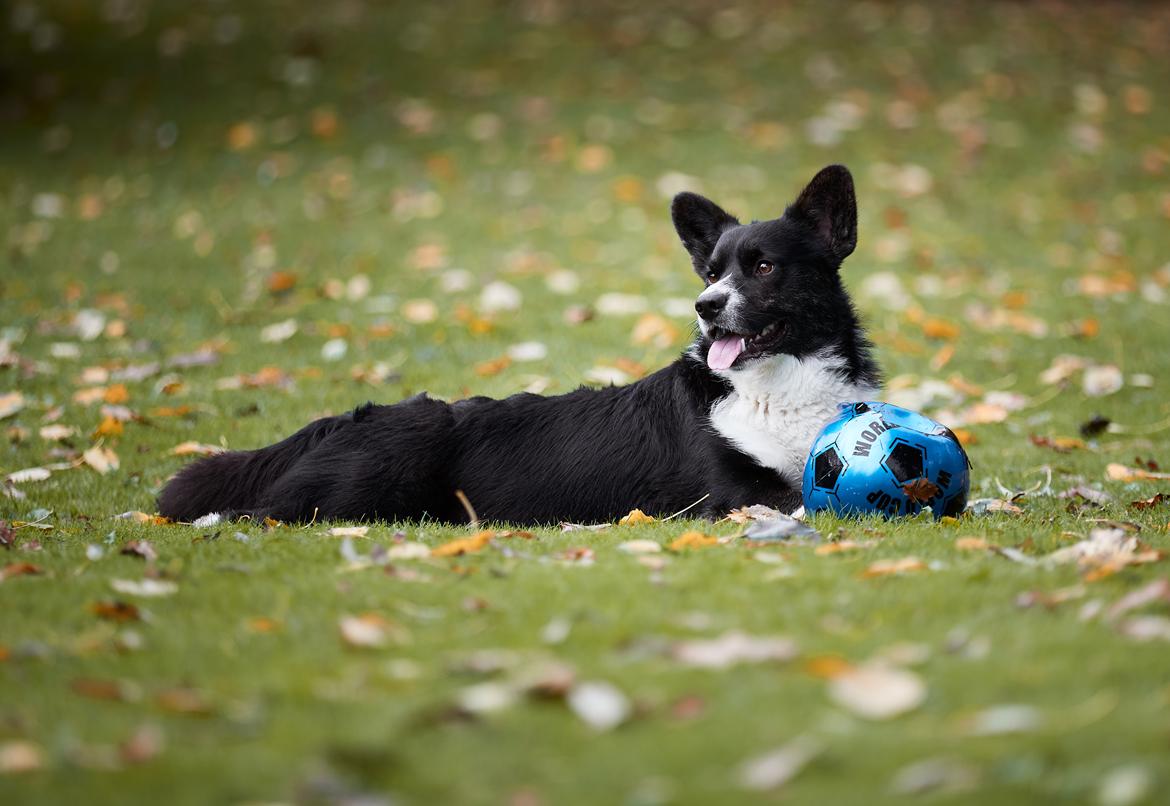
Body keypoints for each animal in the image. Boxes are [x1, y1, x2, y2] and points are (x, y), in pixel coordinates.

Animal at [160, 166, 879, 524]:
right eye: (711, 274)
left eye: (762, 268)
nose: (704, 309)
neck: (779, 384)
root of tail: (340, 419)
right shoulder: (731, 494)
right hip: (386, 460)